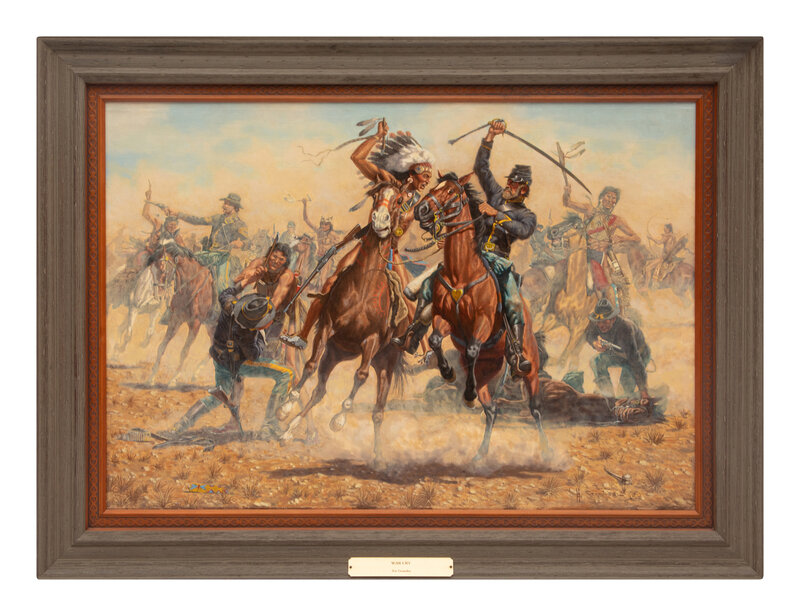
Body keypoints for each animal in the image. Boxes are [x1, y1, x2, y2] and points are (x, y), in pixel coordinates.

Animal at [146, 240, 216, 387]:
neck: (191, 285)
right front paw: (151, 377)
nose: (158, 296)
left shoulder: (195, 324)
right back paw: (196, 374)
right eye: (151, 271)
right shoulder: (175, 319)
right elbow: (161, 346)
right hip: (212, 326)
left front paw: (174, 378)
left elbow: (184, 351)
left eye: (163, 269)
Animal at [283, 193, 412, 467]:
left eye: (397, 200)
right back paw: (289, 429)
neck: (363, 288)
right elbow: (309, 366)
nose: (380, 220)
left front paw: (339, 418)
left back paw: (378, 457)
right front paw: (287, 404)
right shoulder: (327, 327)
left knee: (378, 410)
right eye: (377, 196)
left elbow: (360, 376)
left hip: (385, 364)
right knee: (319, 391)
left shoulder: (371, 341)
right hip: (335, 354)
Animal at [413, 172, 549, 464]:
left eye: (451, 192)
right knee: (491, 410)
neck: (461, 273)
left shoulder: (483, 322)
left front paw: (466, 390)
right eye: (435, 187)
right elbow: (435, 340)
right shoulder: (444, 318)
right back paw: (480, 452)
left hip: (531, 370)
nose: (421, 210)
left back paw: (548, 452)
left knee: (535, 410)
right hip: (488, 374)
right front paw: (448, 373)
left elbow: (474, 348)